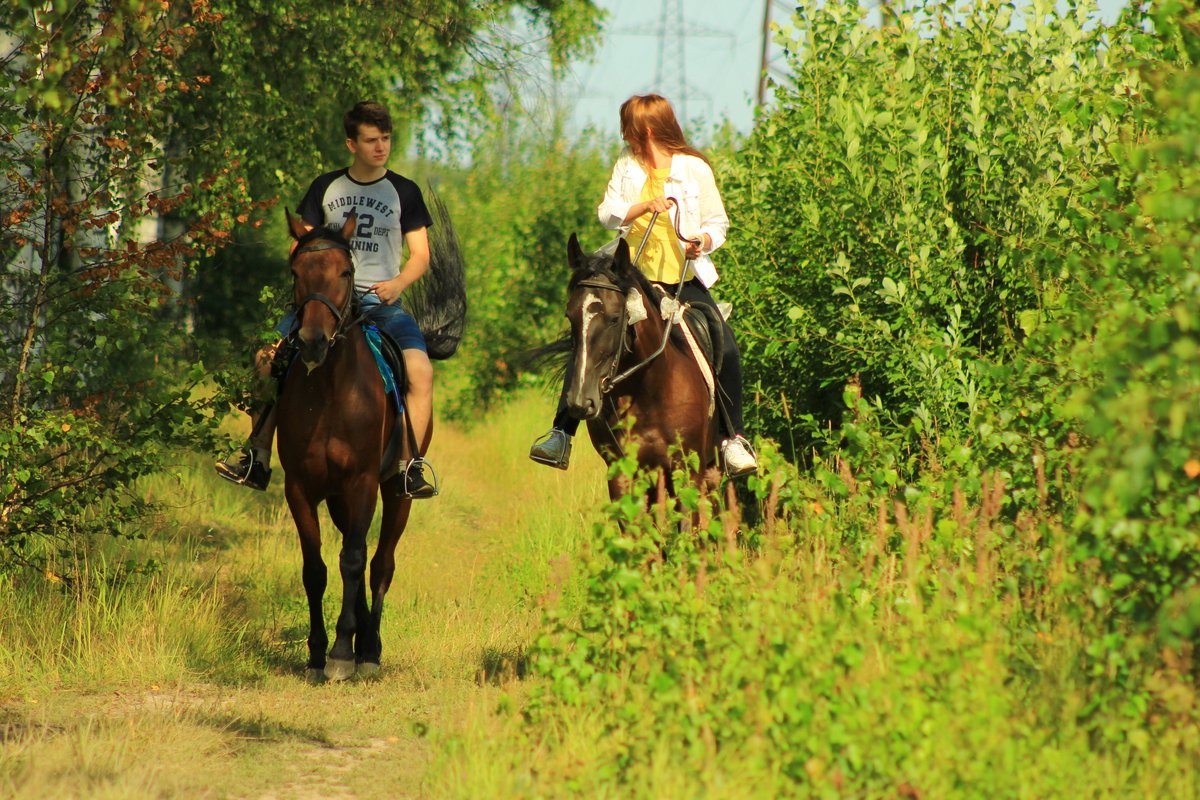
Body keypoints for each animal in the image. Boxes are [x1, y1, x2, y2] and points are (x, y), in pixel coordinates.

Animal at [274, 212, 415, 681]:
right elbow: (315, 569)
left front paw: (340, 653)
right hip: (338, 498)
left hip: (395, 493)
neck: (332, 391)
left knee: (380, 562)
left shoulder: (363, 482)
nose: (313, 340)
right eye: (296, 273)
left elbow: (353, 560)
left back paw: (368, 649)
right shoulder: (300, 487)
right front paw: (318, 653)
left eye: (345, 272)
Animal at [561, 235, 720, 503]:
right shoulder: (622, 475)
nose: (581, 402)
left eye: (615, 318)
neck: (648, 391)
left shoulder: (686, 471)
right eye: (570, 316)